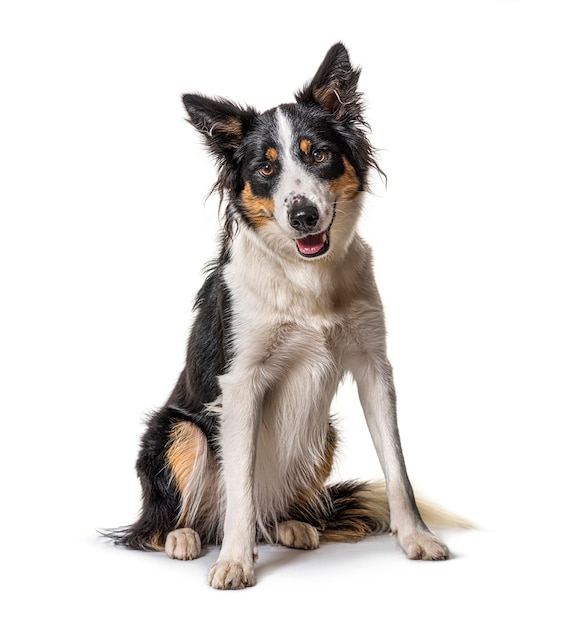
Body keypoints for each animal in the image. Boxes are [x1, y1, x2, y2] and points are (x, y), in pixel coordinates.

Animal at [107, 42, 450, 584]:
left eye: (320, 155)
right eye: (266, 169)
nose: (303, 215)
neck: (306, 277)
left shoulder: (374, 367)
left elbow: (397, 466)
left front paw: (416, 538)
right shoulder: (240, 383)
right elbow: (240, 484)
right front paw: (234, 562)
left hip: (324, 431)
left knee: (271, 508)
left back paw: (290, 525)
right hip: (177, 429)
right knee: (156, 524)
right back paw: (183, 537)